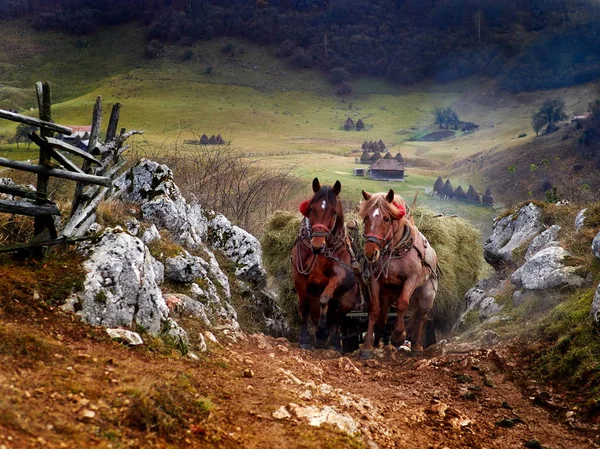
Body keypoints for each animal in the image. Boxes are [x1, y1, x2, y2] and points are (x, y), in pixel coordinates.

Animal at [292, 177, 358, 348]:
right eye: (311, 209)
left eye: (333, 211)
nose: (317, 245)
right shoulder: (299, 278)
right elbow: (303, 307)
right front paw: (304, 339)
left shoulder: (338, 276)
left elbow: (324, 299)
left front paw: (323, 331)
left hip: (349, 301)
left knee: (338, 316)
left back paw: (333, 341)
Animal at [356, 188, 436, 356]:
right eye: (366, 217)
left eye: (386, 219)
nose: (370, 252)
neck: (396, 251)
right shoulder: (375, 280)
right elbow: (374, 310)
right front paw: (367, 346)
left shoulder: (411, 280)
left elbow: (402, 304)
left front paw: (398, 336)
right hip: (388, 293)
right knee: (384, 315)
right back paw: (379, 339)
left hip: (427, 294)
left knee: (421, 316)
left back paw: (416, 346)